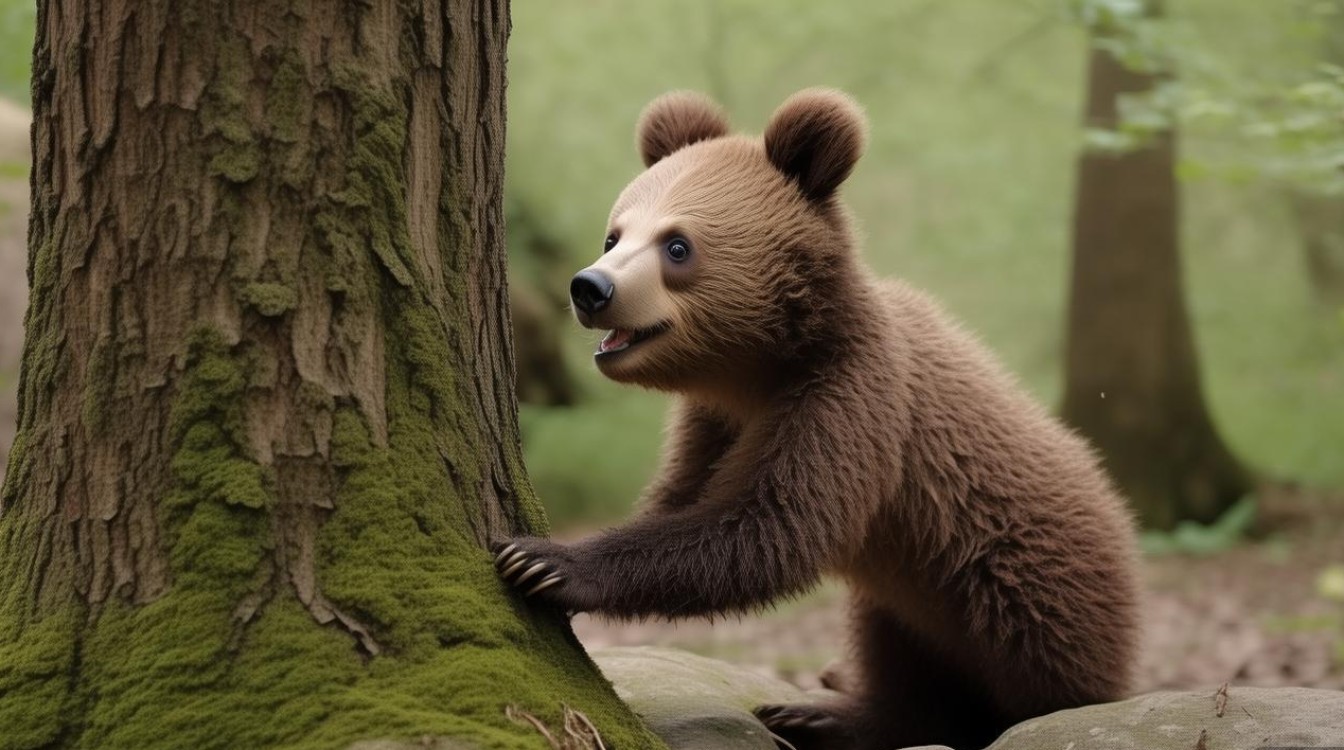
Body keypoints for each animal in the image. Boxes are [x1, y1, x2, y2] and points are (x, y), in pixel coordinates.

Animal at [493, 88, 1140, 750]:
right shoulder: (714, 421)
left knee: (1039, 673)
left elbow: (769, 525)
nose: (590, 288)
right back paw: (822, 714)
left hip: (1019, 573)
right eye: (614, 236)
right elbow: (683, 497)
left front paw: (546, 561)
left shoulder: (852, 398)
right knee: (893, 647)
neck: (760, 368)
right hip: (910, 590)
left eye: (677, 245)